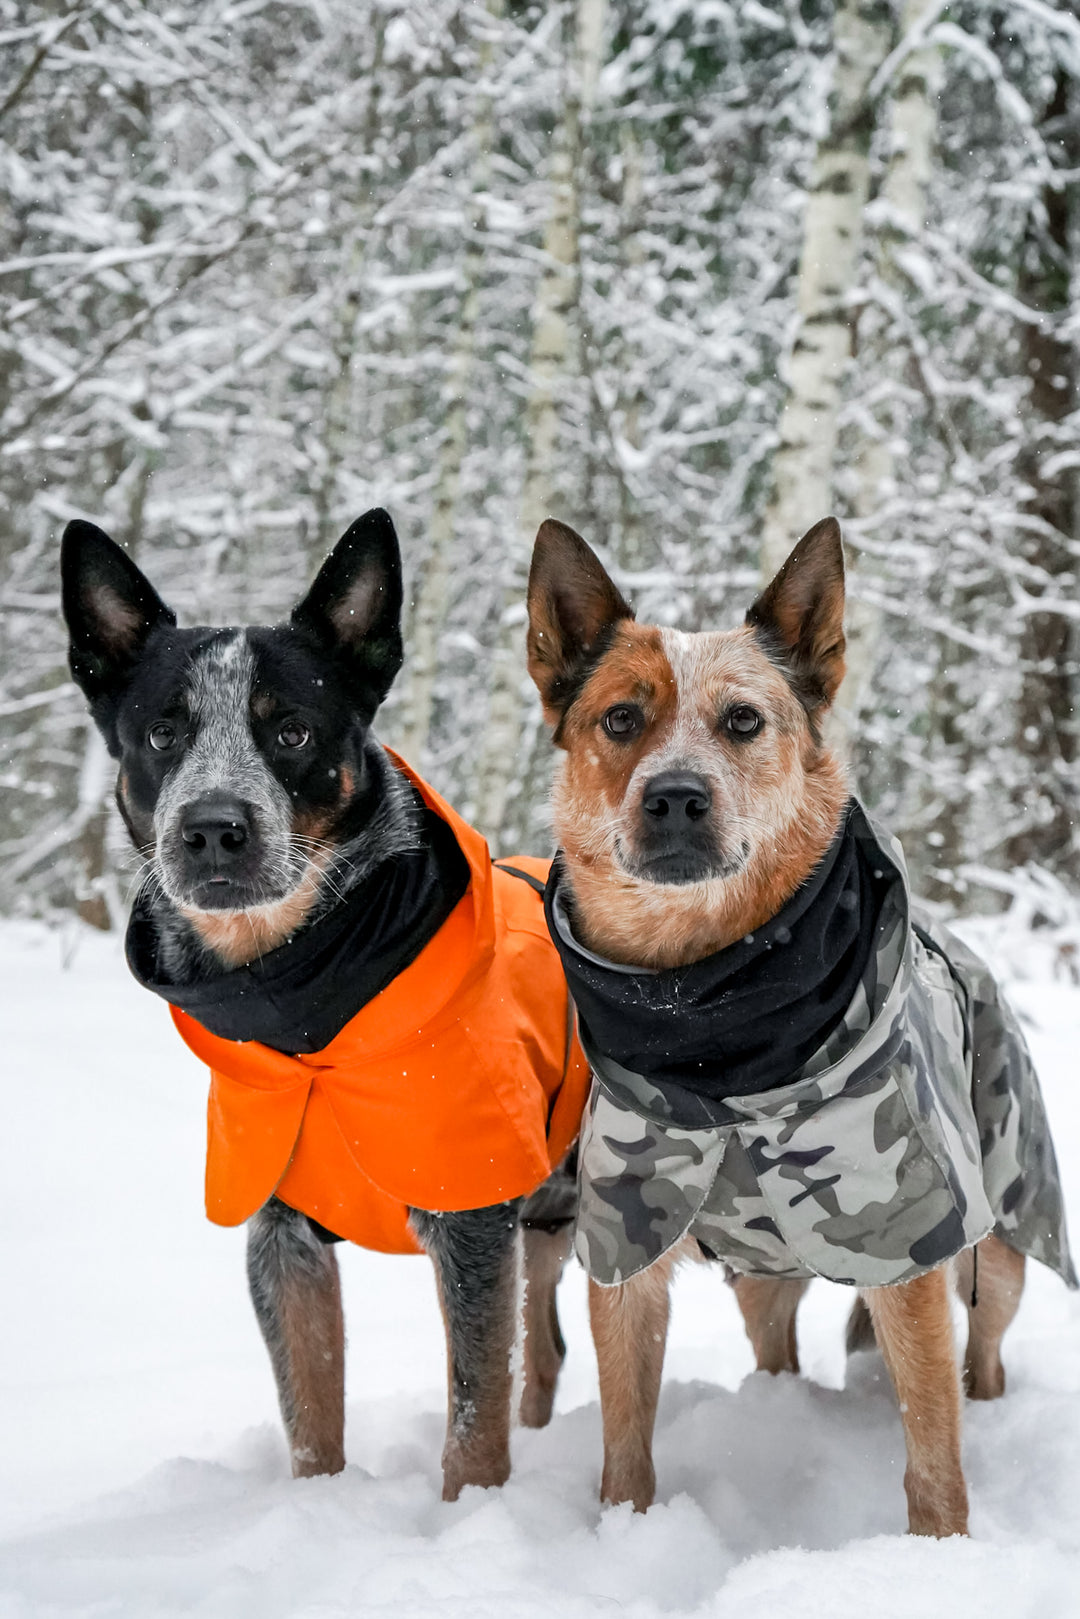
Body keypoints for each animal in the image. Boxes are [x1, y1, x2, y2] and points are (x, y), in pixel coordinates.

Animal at [62, 511, 579, 1495]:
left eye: (293, 731)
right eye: (162, 734)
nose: (212, 828)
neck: (309, 1013)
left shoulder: (470, 1220)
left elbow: (472, 1419)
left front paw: (466, 1518)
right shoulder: (281, 1237)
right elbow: (310, 1416)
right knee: (547, 1353)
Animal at [524, 511, 1075, 1534]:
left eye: (743, 719)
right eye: (620, 718)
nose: (675, 796)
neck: (710, 1022)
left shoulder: (910, 1242)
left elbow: (933, 1455)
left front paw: (939, 1550)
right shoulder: (626, 1247)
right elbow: (626, 1444)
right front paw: (626, 1530)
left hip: (1005, 1243)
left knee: (982, 1357)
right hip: (761, 1277)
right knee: (773, 1347)